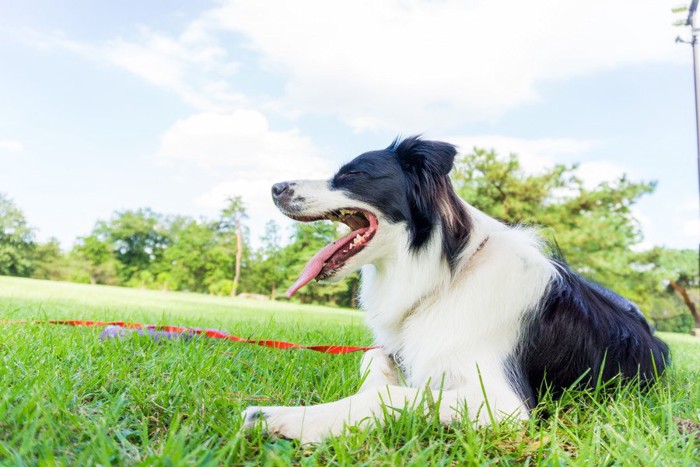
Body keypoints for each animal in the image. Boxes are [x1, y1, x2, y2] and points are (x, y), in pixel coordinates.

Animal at [243, 137, 668, 444]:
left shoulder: (502, 402)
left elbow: (390, 396)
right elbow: (374, 361)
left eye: (353, 174)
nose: (275, 187)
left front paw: (283, 417)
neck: (447, 276)